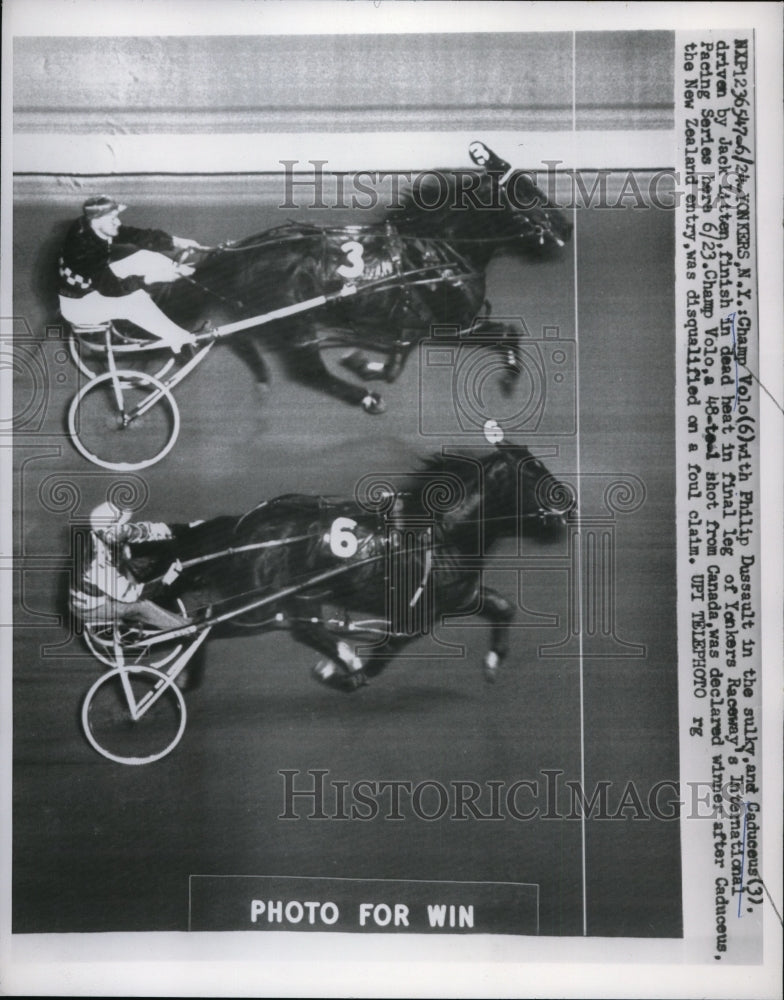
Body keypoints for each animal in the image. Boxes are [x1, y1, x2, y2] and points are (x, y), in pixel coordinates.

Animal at [125, 438, 572, 688]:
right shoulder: (411, 620)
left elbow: (503, 607)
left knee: (270, 624)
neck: (440, 534)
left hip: (284, 602)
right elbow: (376, 663)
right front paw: (341, 672)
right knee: (213, 619)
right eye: (533, 471)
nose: (568, 501)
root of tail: (242, 527)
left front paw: (494, 662)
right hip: (262, 605)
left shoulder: (457, 597)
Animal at [155, 144, 568, 414]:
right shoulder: (452, 325)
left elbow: (398, 361)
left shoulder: (419, 326)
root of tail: (241, 254)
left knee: (253, 345)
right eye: (524, 191)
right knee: (308, 371)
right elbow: (503, 333)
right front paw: (510, 376)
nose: (564, 224)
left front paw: (366, 364)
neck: (436, 250)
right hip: (295, 323)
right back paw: (362, 396)